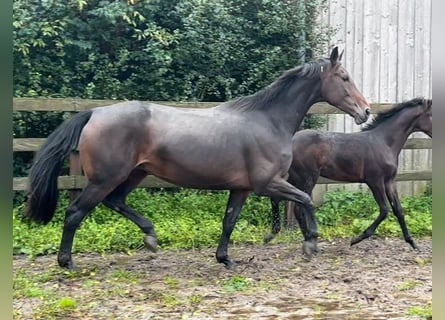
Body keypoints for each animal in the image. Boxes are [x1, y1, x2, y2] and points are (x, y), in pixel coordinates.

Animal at [26, 46, 370, 268]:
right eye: (344, 77)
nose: (365, 111)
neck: (268, 120)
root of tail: (94, 112)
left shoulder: (242, 188)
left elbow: (229, 221)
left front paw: (225, 259)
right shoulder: (268, 184)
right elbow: (306, 200)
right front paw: (311, 242)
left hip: (133, 174)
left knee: (116, 201)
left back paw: (150, 237)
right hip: (105, 178)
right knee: (75, 212)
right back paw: (67, 262)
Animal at [266, 97, 432, 250]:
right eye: (431, 114)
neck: (384, 142)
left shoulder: (389, 181)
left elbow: (398, 210)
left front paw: (412, 243)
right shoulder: (375, 181)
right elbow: (385, 210)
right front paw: (356, 239)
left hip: (297, 177)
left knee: (278, 198)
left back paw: (276, 234)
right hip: (307, 178)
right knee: (297, 207)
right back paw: (307, 239)